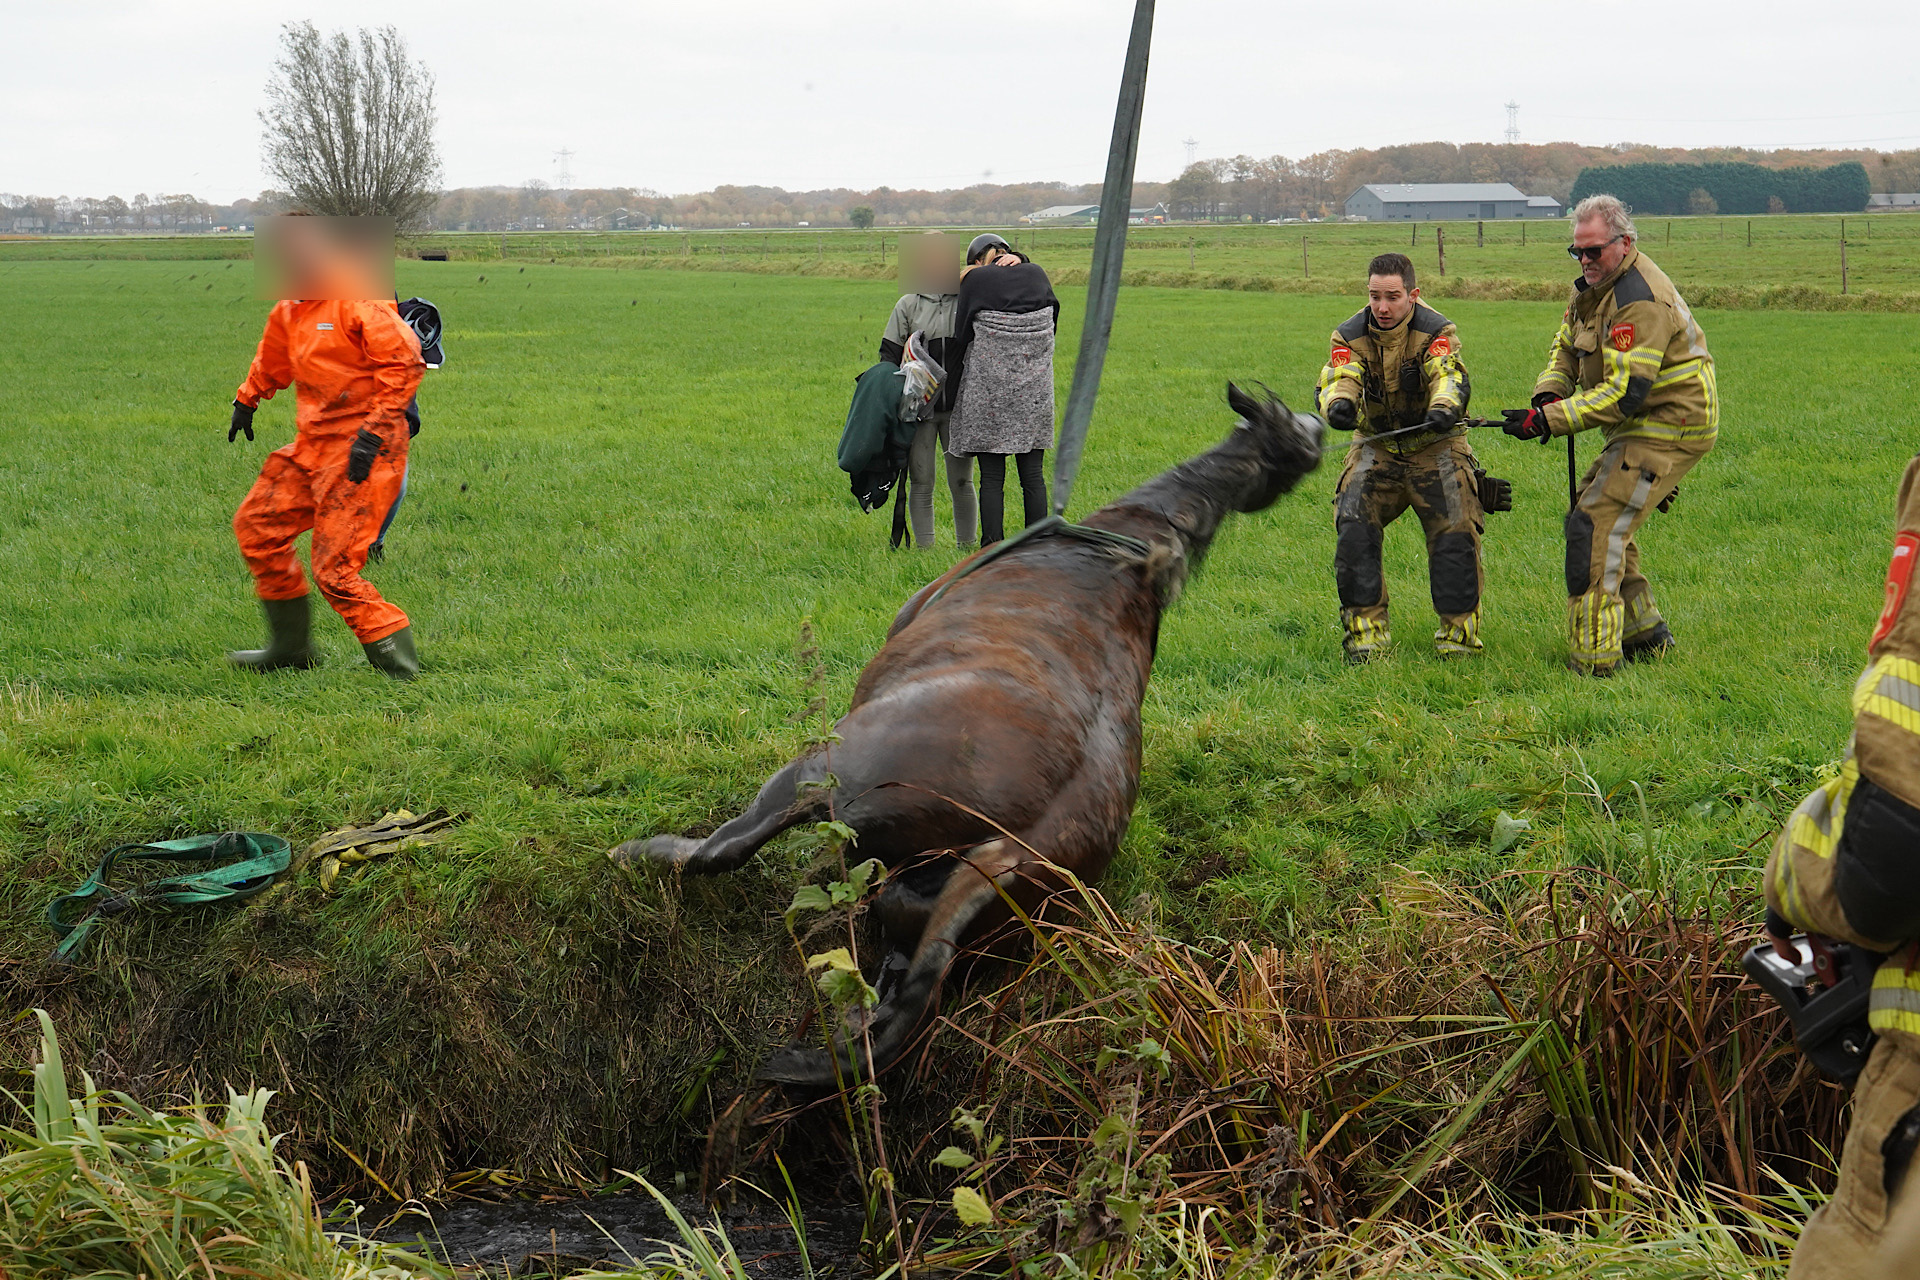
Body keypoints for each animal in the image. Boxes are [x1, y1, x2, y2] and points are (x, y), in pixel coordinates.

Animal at [612, 384, 1323, 1084]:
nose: (1323, 421)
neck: (1133, 541)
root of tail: (1016, 850)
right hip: (924, 908)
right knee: (899, 994)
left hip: (829, 774)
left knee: (726, 847)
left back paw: (641, 852)